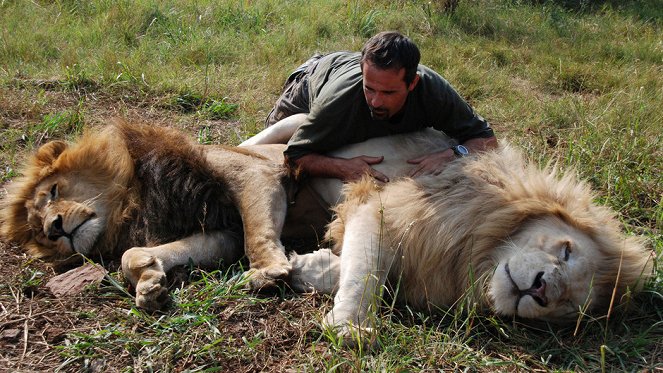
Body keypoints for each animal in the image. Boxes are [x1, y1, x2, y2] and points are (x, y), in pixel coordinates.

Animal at [290, 142, 652, 338]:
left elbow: (364, 272)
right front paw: (349, 328)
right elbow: (363, 276)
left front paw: (305, 266)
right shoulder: (379, 209)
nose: (541, 290)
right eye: (566, 251)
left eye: (568, 304)